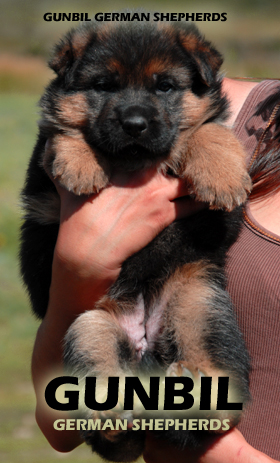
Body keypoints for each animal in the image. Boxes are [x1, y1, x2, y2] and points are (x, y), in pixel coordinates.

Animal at [19, 18, 252, 463]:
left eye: (165, 87)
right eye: (103, 86)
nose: (135, 124)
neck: (134, 162)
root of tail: (147, 355)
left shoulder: (218, 221)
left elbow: (208, 130)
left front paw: (222, 174)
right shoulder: (44, 193)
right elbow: (60, 131)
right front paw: (79, 163)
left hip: (199, 300)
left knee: (220, 410)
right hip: (90, 324)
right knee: (114, 431)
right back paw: (112, 416)